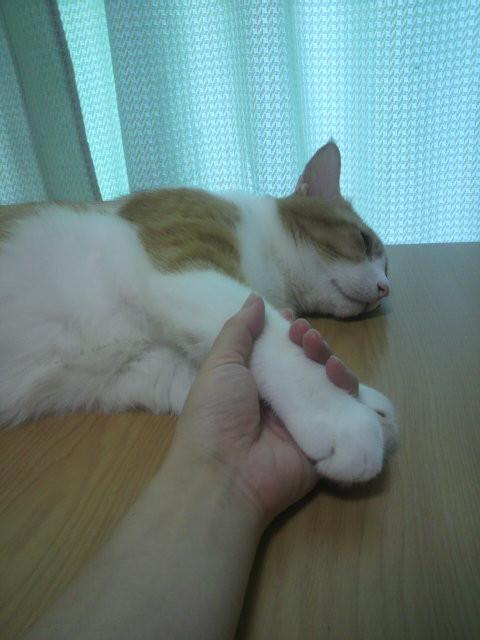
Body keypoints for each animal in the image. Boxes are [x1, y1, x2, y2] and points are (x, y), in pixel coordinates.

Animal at [0, 142, 399, 483]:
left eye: (386, 269)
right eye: (364, 242)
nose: (385, 289)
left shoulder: (135, 366)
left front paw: (362, 395)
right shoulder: (188, 269)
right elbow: (280, 344)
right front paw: (343, 415)